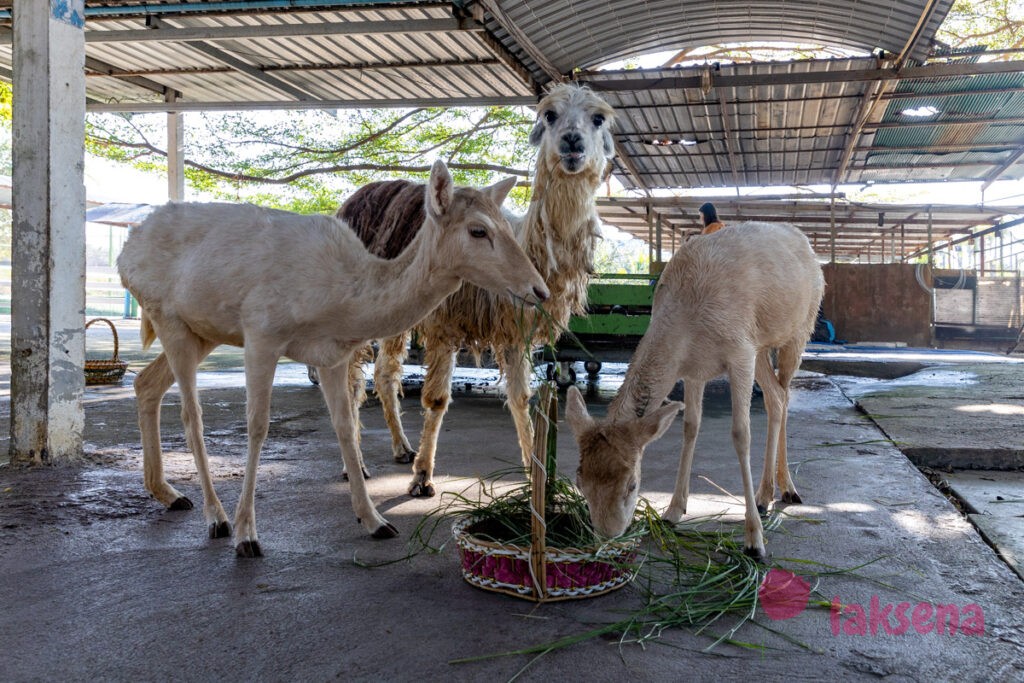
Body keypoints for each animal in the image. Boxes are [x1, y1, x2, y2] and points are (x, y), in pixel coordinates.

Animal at [565, 222, 819, 557]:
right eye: (579, 482)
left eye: (632, 484)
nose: (608, 538)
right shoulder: (695, 371)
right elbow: (689, 427)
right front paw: (673, 511)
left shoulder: (740, 352)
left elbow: (741, 434)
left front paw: (754, 540)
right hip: (761, 348)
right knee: (776, 398)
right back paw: (766, 496)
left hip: (800, 329)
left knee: (786, 394)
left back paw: (787, 490)